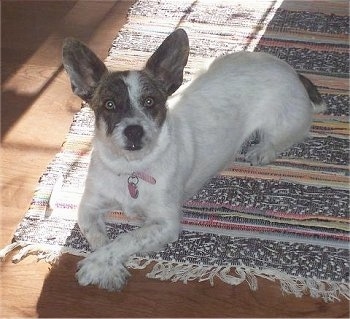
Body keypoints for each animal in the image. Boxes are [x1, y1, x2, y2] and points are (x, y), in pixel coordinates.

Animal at [62, 28, 326, 292]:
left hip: (282, 125)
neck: (131, 167)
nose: (134, 130)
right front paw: (108, 269)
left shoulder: (165, 223)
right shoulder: (88, 207)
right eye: (109, 105)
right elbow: (99, 238)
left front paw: (96, 264)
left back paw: (262, 150)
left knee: (282, 138)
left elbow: (126, 238)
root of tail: (290, 70)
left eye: (149, 102)